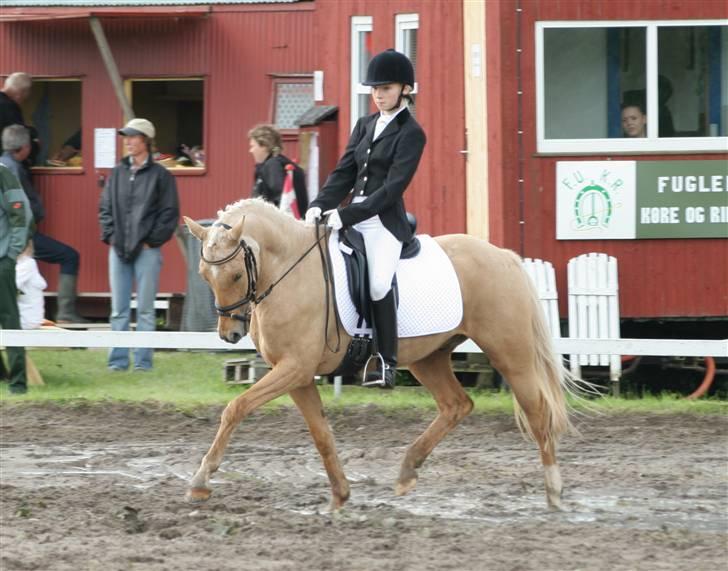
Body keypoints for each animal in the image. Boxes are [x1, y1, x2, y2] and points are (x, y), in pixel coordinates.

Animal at [183, 200, 576, 510]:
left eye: (235, 274)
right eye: (204, 274)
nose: (230, 334)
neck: (290, 272)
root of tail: (504, 256)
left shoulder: (294, 369)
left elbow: (236, 408)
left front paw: (200, 481)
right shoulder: (297, 375)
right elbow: (321, 434)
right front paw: (340, 495)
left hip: (511, 354)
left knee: (538, 413)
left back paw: (554, 492)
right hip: (428, 358)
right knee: (456, 405)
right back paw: (407, 470)